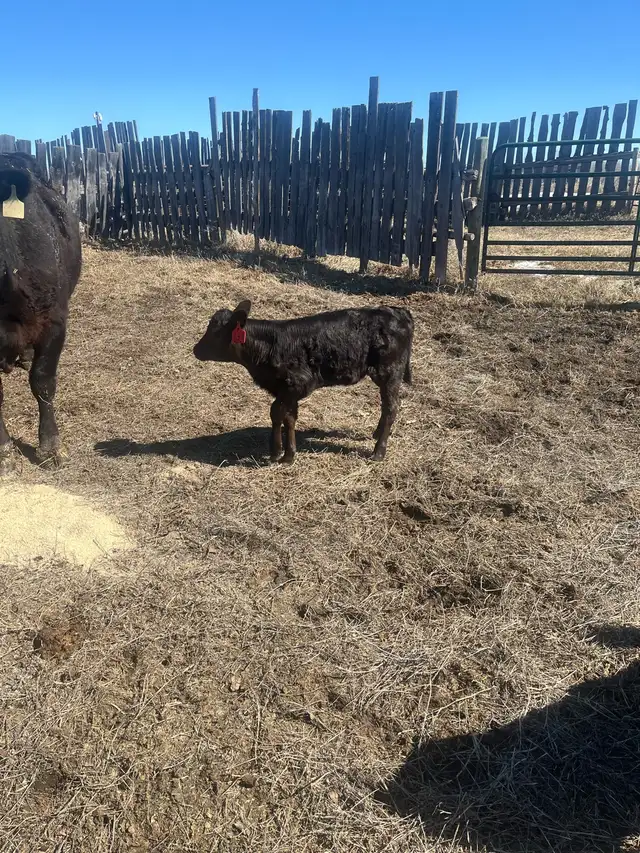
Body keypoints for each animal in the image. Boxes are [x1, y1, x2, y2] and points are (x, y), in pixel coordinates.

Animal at [193, 301, 414, 464]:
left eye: (217, 333)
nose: (196, 349)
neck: (269, 347)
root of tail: (398, 311)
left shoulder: (297, 384)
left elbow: (279, 413)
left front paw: (280, 453)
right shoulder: (285, 391)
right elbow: (286, 416)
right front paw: (285, 453)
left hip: (390, 372)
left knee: (392, 407)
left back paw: (378, 452)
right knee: (386, 406)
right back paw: (377, 434)